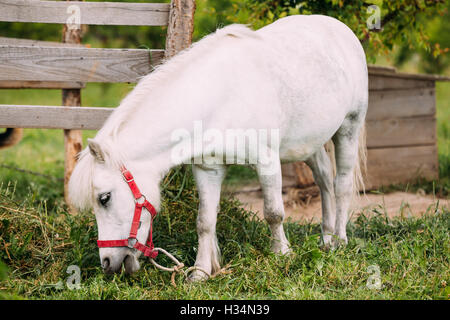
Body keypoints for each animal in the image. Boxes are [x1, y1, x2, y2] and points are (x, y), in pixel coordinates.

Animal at [68, 15, 368, 280]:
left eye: (104, 198)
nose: (108, 263)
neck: (220, 97)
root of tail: (340, 28)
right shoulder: (207, 168)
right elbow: (205, 222)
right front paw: (200, 273)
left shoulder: (267, 162)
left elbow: (274, 213)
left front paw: (282, 255)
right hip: (308, 144)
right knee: (324, 180)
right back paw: (326, 237)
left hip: (349, 128)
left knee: (341, 185)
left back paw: (339, 241)